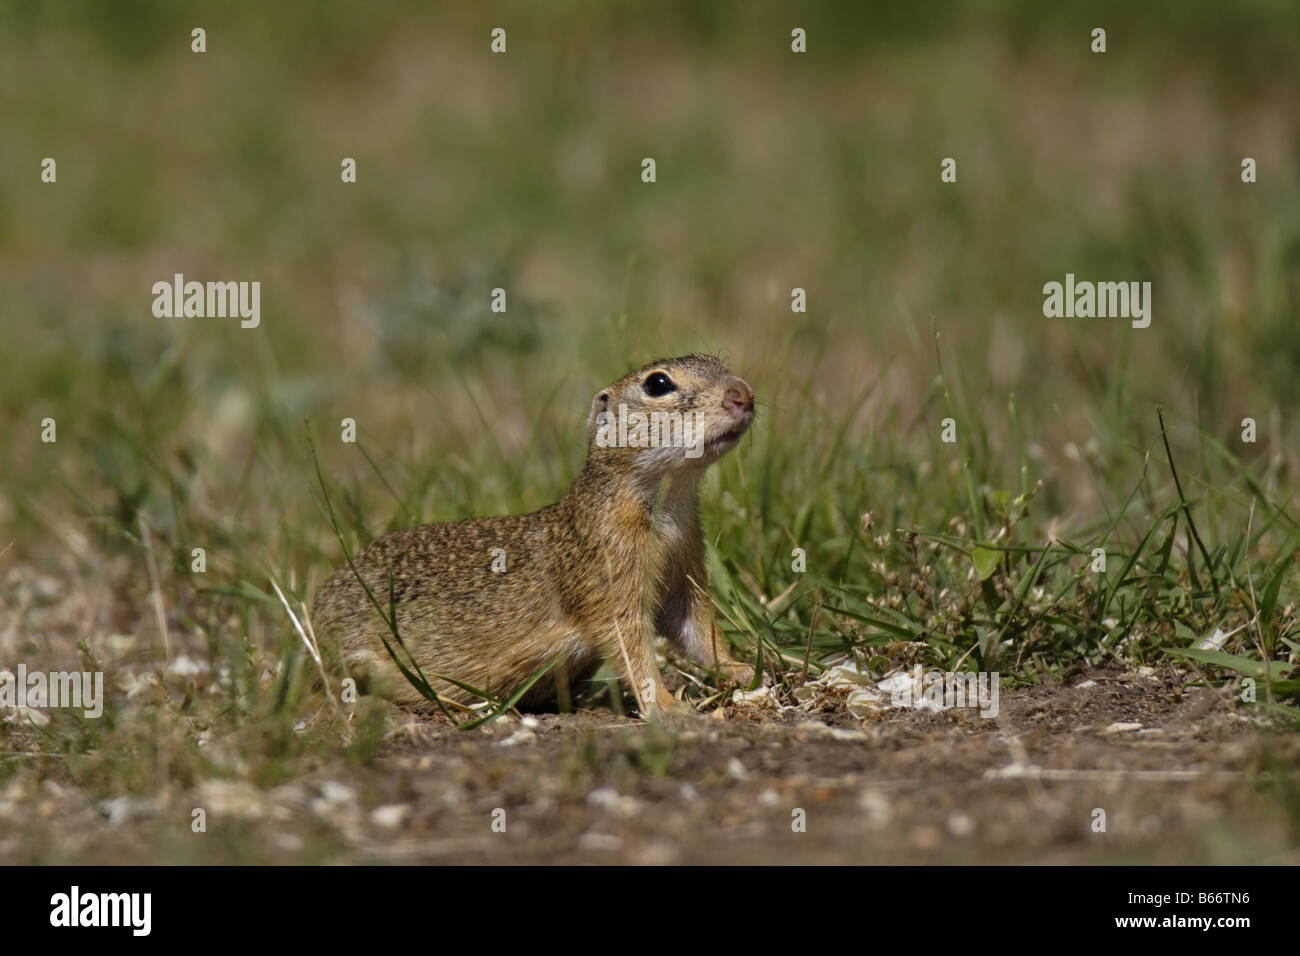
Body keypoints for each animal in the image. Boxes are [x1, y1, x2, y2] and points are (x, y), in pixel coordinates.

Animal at [313, 356, 759, 712]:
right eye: (658, 384)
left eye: (716, 360)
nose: (744, 393)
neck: (669, 505)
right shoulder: (609, 578)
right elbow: (630, 646)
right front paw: (668, 708)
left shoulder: (684, 571)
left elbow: (697, 629)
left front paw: (743, 669)